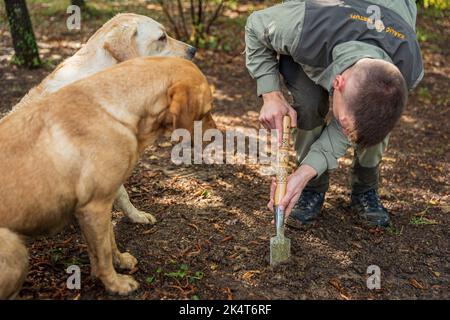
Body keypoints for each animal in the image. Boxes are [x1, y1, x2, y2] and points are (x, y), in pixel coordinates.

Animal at [0, 57, 216, 298]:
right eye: (206, 111)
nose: (217, 134)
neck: (117, 110)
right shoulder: (95, 205)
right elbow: (103, 254)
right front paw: (116, 284)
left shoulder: (100, 206)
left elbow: (107, 241)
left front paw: (120, 262)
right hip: (14, 248)